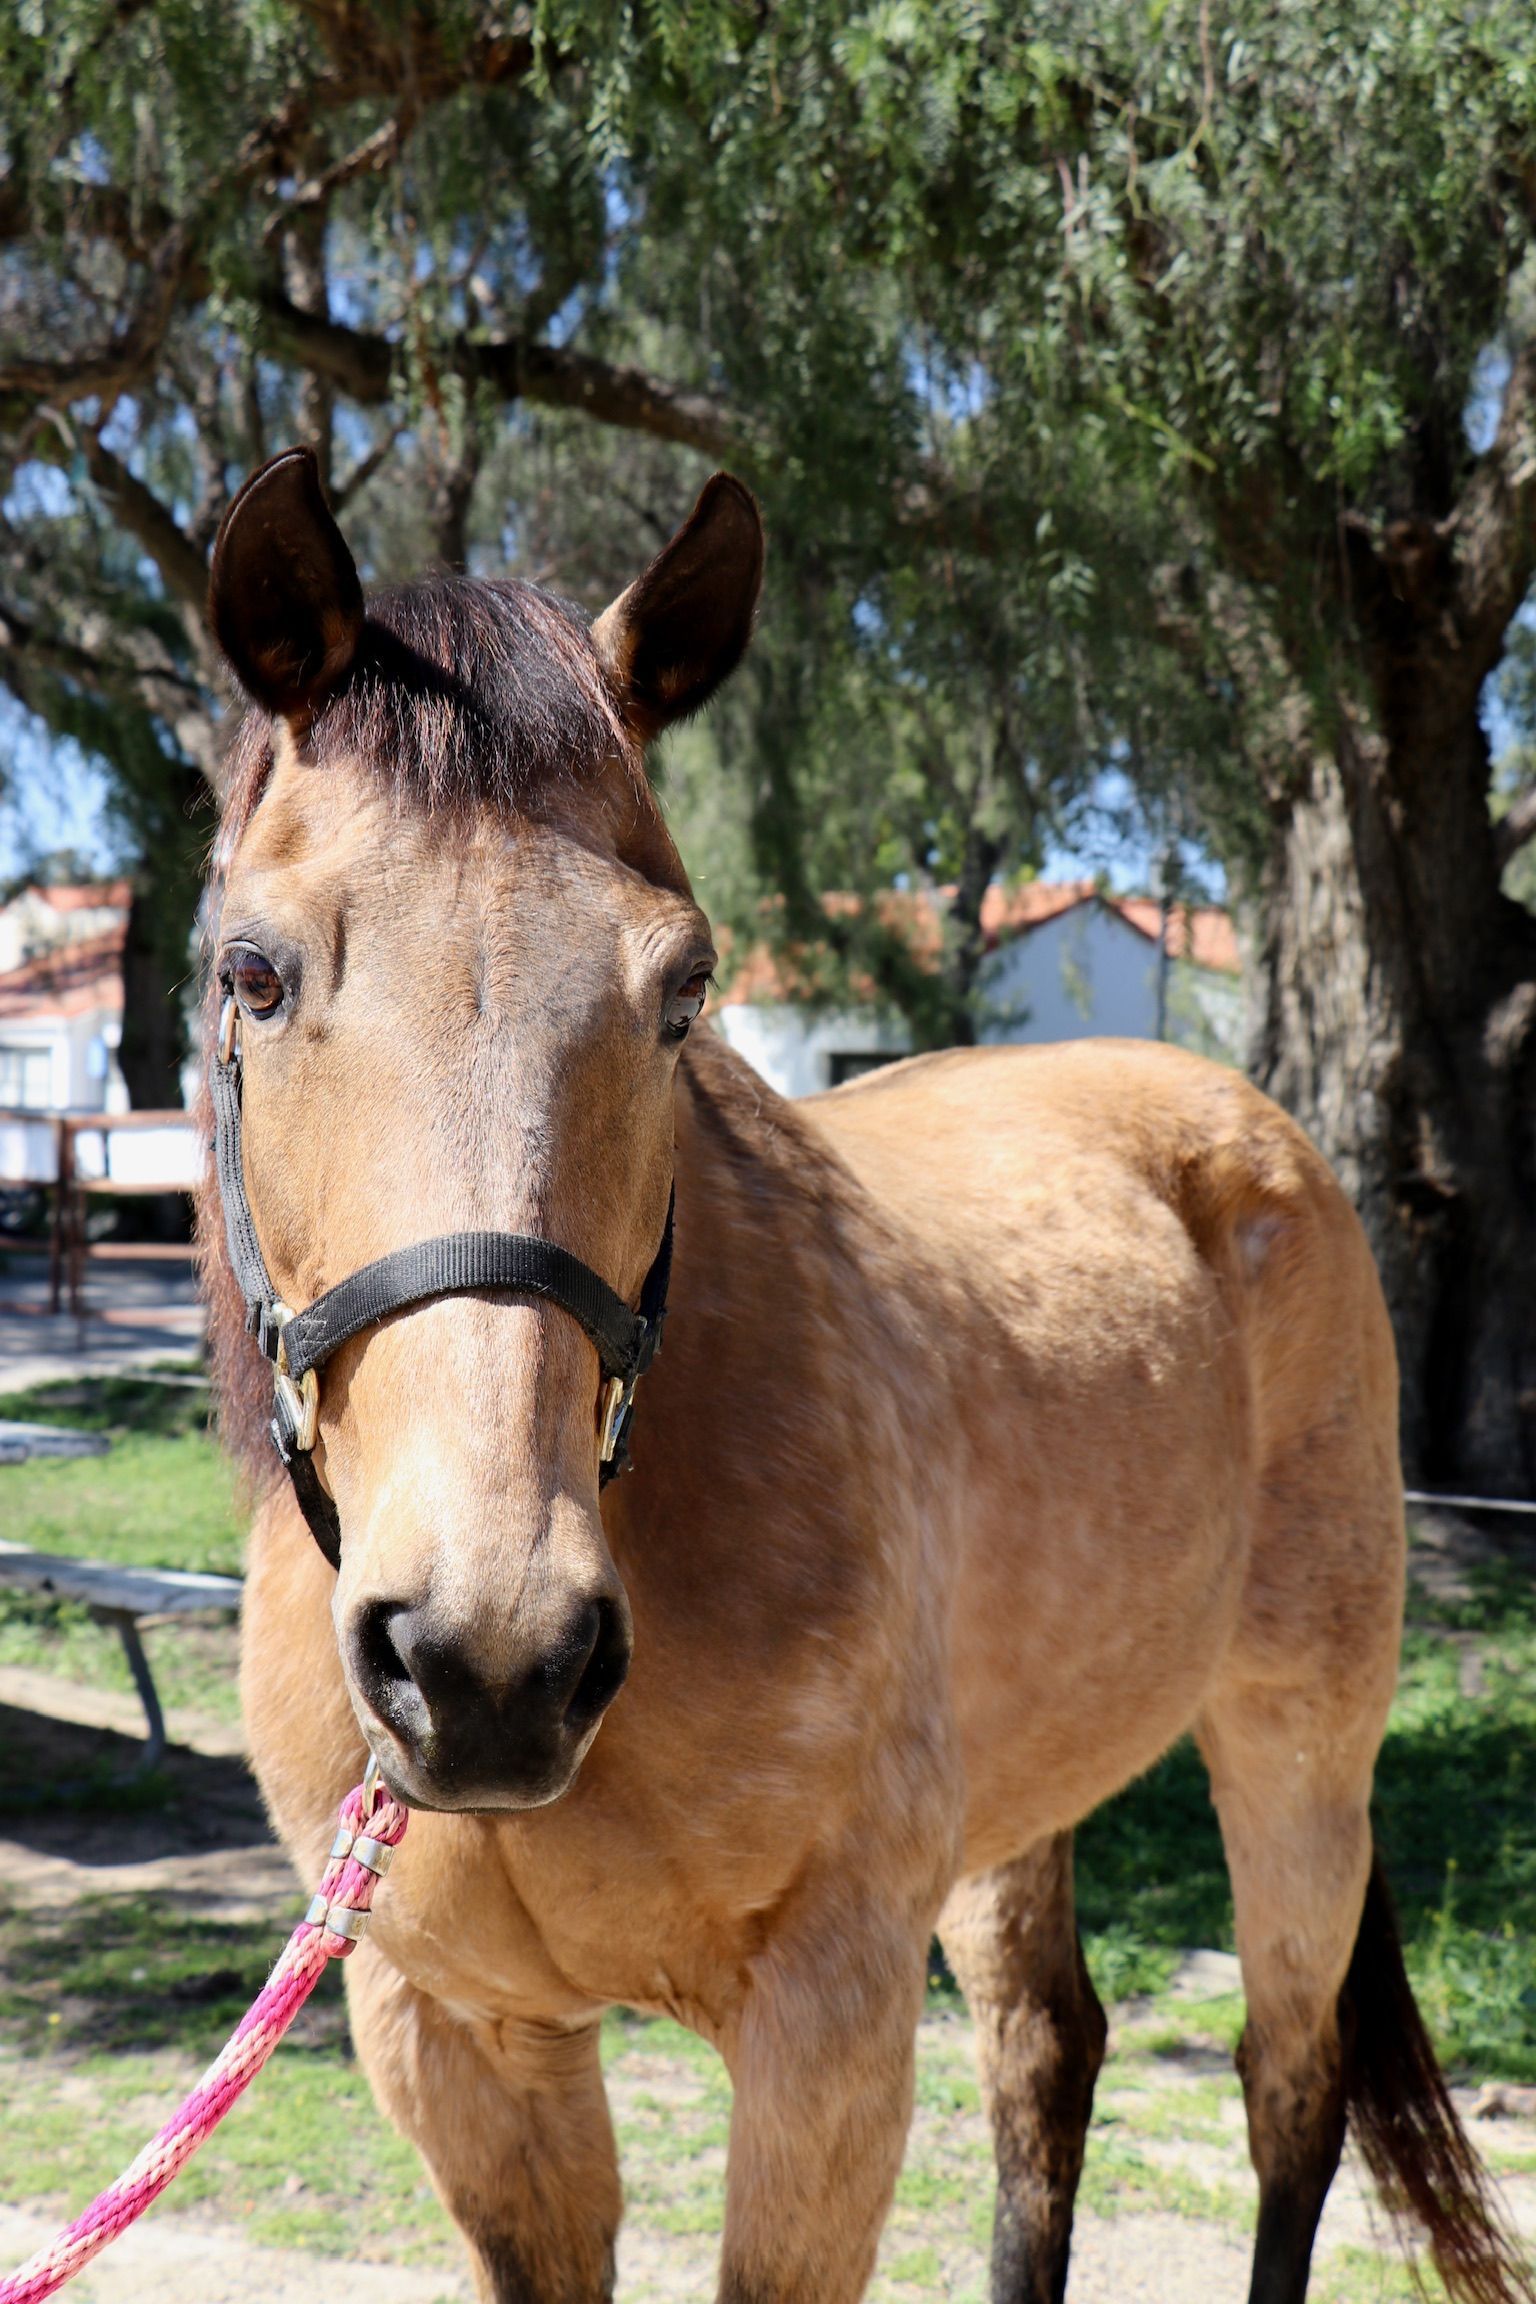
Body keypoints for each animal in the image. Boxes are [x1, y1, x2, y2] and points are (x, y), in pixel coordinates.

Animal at [198, 446, 1530, 2304]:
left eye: (685, 986)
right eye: (252, 971)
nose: (490, 1658)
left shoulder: (824, 2025)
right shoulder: (458, 2040)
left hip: (1300, 1745)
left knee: (1292, 2081)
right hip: (1019, 1802)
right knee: (1049, 2055)